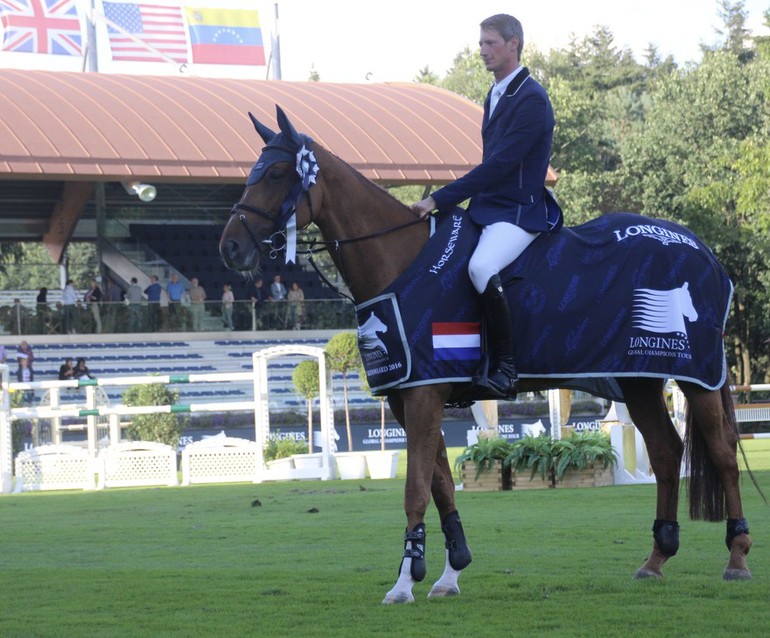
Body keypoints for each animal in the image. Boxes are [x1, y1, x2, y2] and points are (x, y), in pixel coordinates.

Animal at [220, 106, 752, 604]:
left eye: (276, 174)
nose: (230, 247)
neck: (400, 260)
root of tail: (703, 251)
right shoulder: (410, 395)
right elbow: (439, 483)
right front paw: (450, 570)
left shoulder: (425, 394)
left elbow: (416, 489)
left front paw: (404, 582)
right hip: (639, 380)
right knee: (665, 452)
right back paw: (656, 558)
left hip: (696, 378)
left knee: (723, 453)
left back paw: (737, 558)